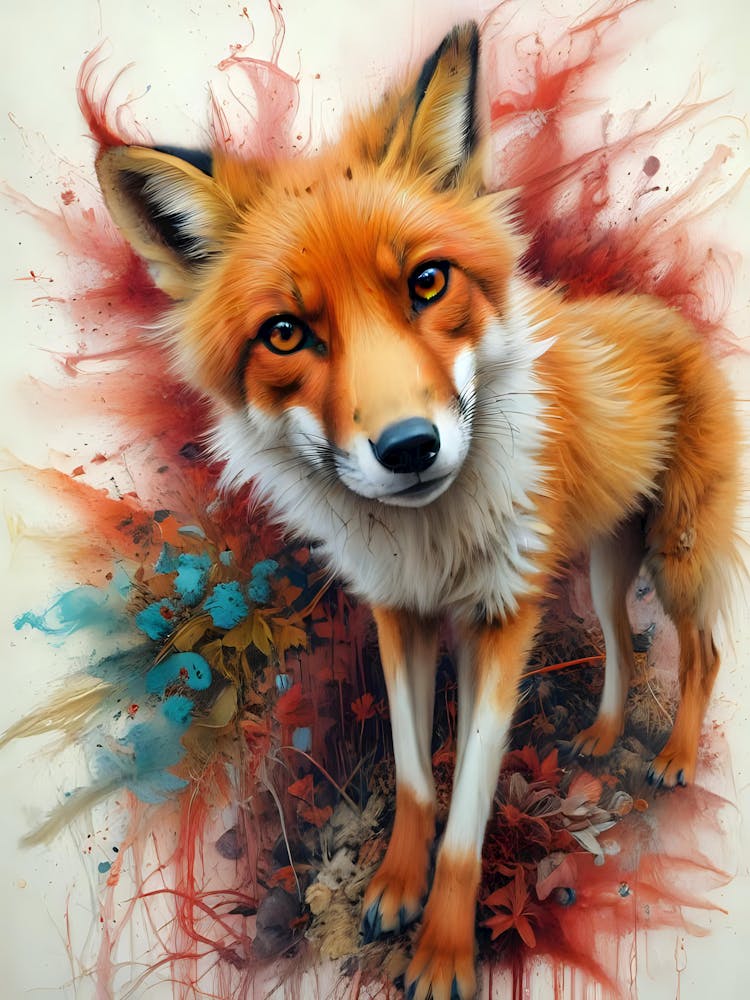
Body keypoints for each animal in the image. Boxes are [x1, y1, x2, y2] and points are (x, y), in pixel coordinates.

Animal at [95, 22, 741, 1000]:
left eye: (428, 283)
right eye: (287, 333)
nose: (409, 449)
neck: (433, 544)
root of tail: (663, 316)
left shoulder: (503, 618)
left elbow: (470, 803)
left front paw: (442, 950)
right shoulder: (401, 613)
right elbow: (413, 776)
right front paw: (397, 889)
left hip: (674, 553)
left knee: (701, 651)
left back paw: (673, 757)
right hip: (600, 565)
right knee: (624, 649)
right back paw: (600, 735)